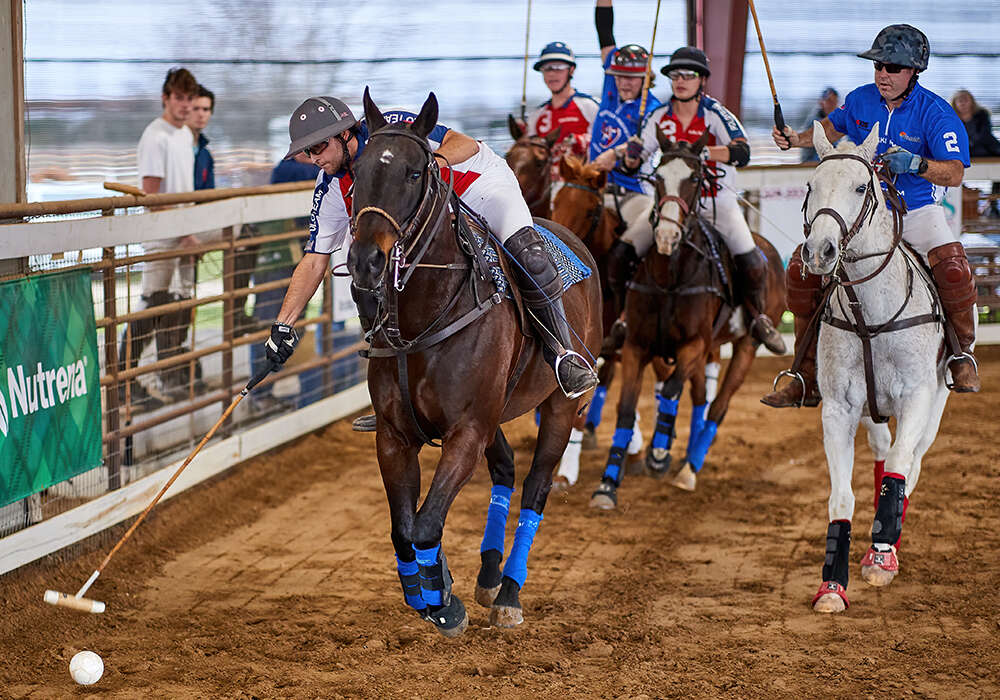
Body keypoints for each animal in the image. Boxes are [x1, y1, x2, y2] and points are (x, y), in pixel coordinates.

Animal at [350, 87, 600, 636]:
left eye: (414, 173)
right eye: (357, 171)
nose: (365, 261)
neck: (424, 317)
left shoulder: (465, 432)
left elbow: (425, 524)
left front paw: (443, 603)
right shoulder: (394, 436)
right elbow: (403, 529)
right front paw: (429, 589)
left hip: (559, 406)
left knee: (535, 487)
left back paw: (508, 593)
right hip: (496, 415)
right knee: (505, 469)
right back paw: (488, 575)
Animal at [584, 131, 788, 506]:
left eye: (695, 179)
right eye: (657, 178)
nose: (666, 236)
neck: (670, 276)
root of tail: (764, 244)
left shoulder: (694, 344)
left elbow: (671, 390)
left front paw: (658, 454)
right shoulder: (636, 345)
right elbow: (627, 408)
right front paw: (607, 485)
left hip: (746, 344)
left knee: (718, 406)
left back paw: (689, 468)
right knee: (700, 398)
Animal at [800, 124, 948, 612]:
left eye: (861, 187)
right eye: (811, 185)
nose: (820, 251)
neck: (870, 315)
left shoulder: (918, 396)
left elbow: (904, 464)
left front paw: (881, 555)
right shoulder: (839, 409)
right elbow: (841, 496)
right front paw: (832, 585)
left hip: (938, 402)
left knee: (911, 462)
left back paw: (887, 546)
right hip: (871, 411)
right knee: (883, 451)